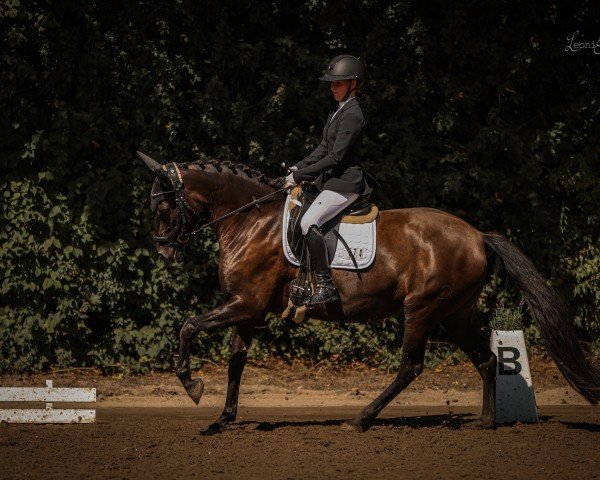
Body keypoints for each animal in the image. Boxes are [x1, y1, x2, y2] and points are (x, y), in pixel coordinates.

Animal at [139, 152, 600, 434]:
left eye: (162, 208)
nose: (163, 251)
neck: (251, 221)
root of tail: (478, 236)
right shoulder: (248, 310)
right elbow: (236, 362)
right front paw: (222, 419)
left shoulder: (244, 304)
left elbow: (188, 326)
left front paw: (192, 386)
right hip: (455, 314)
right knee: (486, 359)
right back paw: (485, 422)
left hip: (422, 309)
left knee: (411, 367)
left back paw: (361, 419)